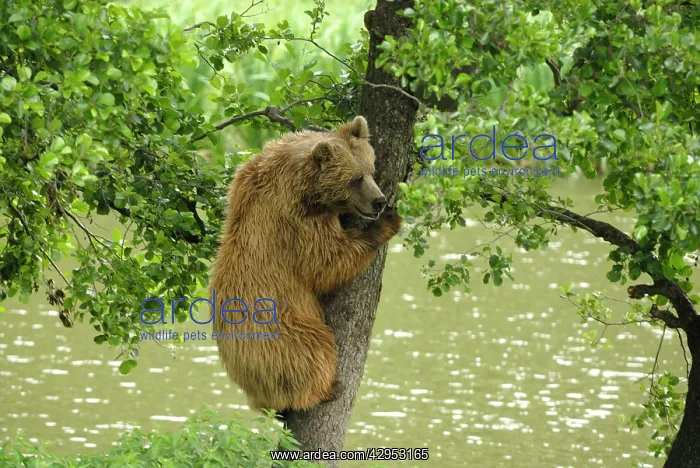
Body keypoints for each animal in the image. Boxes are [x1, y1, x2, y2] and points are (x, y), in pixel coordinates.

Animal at [208, 115, 403, 413]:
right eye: (355, 179)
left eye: (371, 169)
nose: (379, 202)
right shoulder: (294, 221)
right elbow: (326, 262)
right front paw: (386, 223)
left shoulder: (246, 176)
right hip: (277, 329)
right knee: (313, 348)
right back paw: (325, 389)